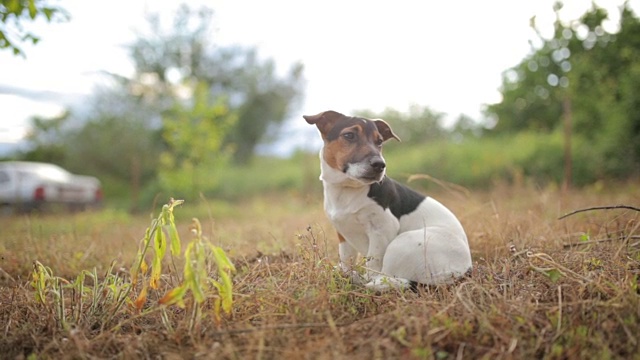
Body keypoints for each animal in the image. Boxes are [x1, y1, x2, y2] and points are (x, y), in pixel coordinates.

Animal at [302, 109, 472, 290]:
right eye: (349, 135)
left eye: (379, 142)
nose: (380, 165)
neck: (348, 190)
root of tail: (465, 271)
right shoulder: (343, 234)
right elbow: (346, 259)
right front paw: (345, 275)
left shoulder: (382, 230)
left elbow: (373, 263)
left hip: (401, 243)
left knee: (386, 279)